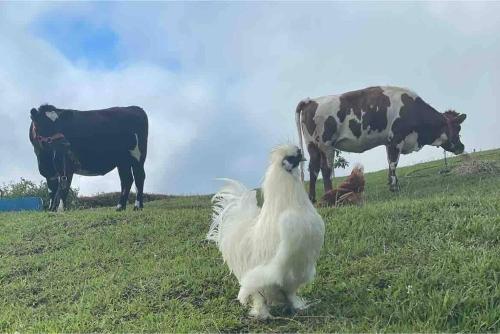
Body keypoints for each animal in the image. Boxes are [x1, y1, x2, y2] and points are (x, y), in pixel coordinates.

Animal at [294, 86, 466, 201]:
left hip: (312, 145)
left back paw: (312, 198)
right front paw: (394, 186)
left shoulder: (389, 142)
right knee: (326, 169)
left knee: (313, 169)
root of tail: (311, 100)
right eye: (458, 128)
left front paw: (391, 183)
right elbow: (393, 163)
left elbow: (390, 162)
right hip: (326, 144)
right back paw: (329, 195)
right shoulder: (396, 138)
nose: (461, 147)